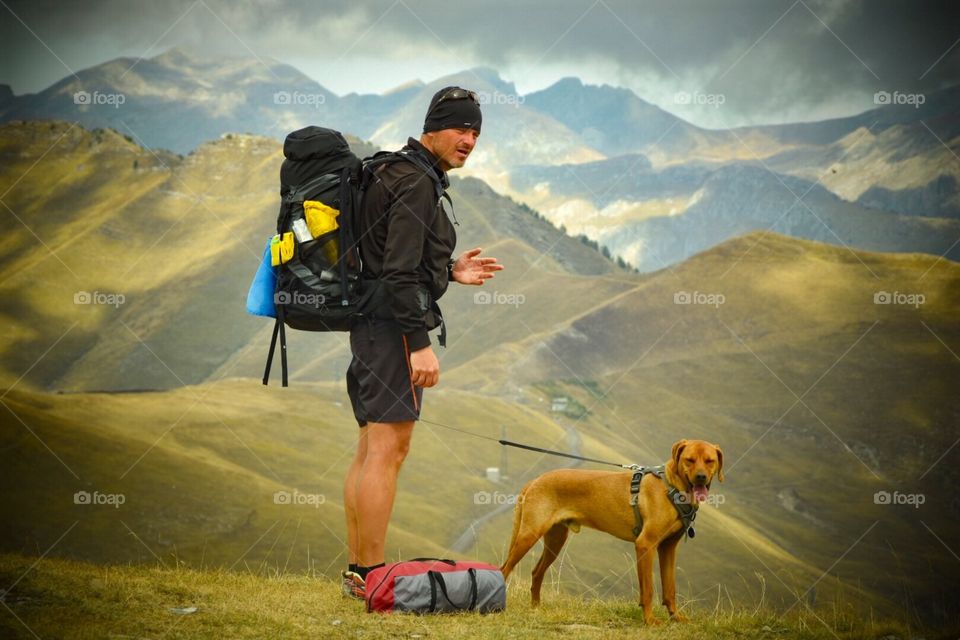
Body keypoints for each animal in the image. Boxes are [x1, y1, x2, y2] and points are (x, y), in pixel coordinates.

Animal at [502, 440, 720, 624]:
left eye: (710, 461)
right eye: (689, 460)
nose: (701, 477)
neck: (672, 486)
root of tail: (535, 480)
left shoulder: (668, 547)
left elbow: (670, 588)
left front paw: (676, 617)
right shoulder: (645, 544)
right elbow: (648, 589)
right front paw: (650, 620)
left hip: (555, 541)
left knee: (536, 572)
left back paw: (536, 608)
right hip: (529, 535)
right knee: (504, 569)